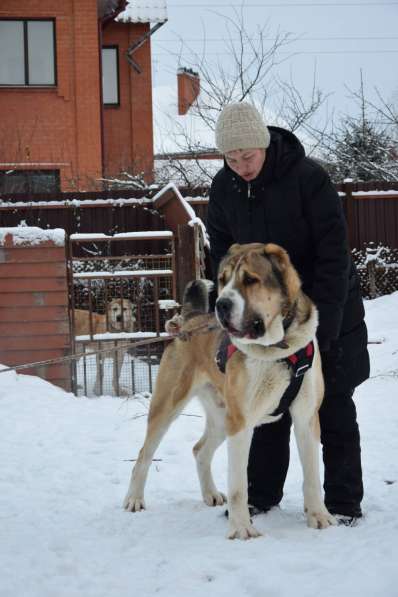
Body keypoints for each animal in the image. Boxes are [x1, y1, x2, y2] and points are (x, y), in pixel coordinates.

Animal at [124, 243, 336, 540]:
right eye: (223, 280)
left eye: (250, 280)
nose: (221, 304)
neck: (277, 350)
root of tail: (190, 319)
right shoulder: (241, 423)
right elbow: (239, 485)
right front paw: (241, 528)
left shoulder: (306, 419)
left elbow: (313, 476)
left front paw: (318, 516)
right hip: (168, 407)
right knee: (143, 455)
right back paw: (134, 499)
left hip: (221, 417)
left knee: (199, 450)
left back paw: (210, 494)